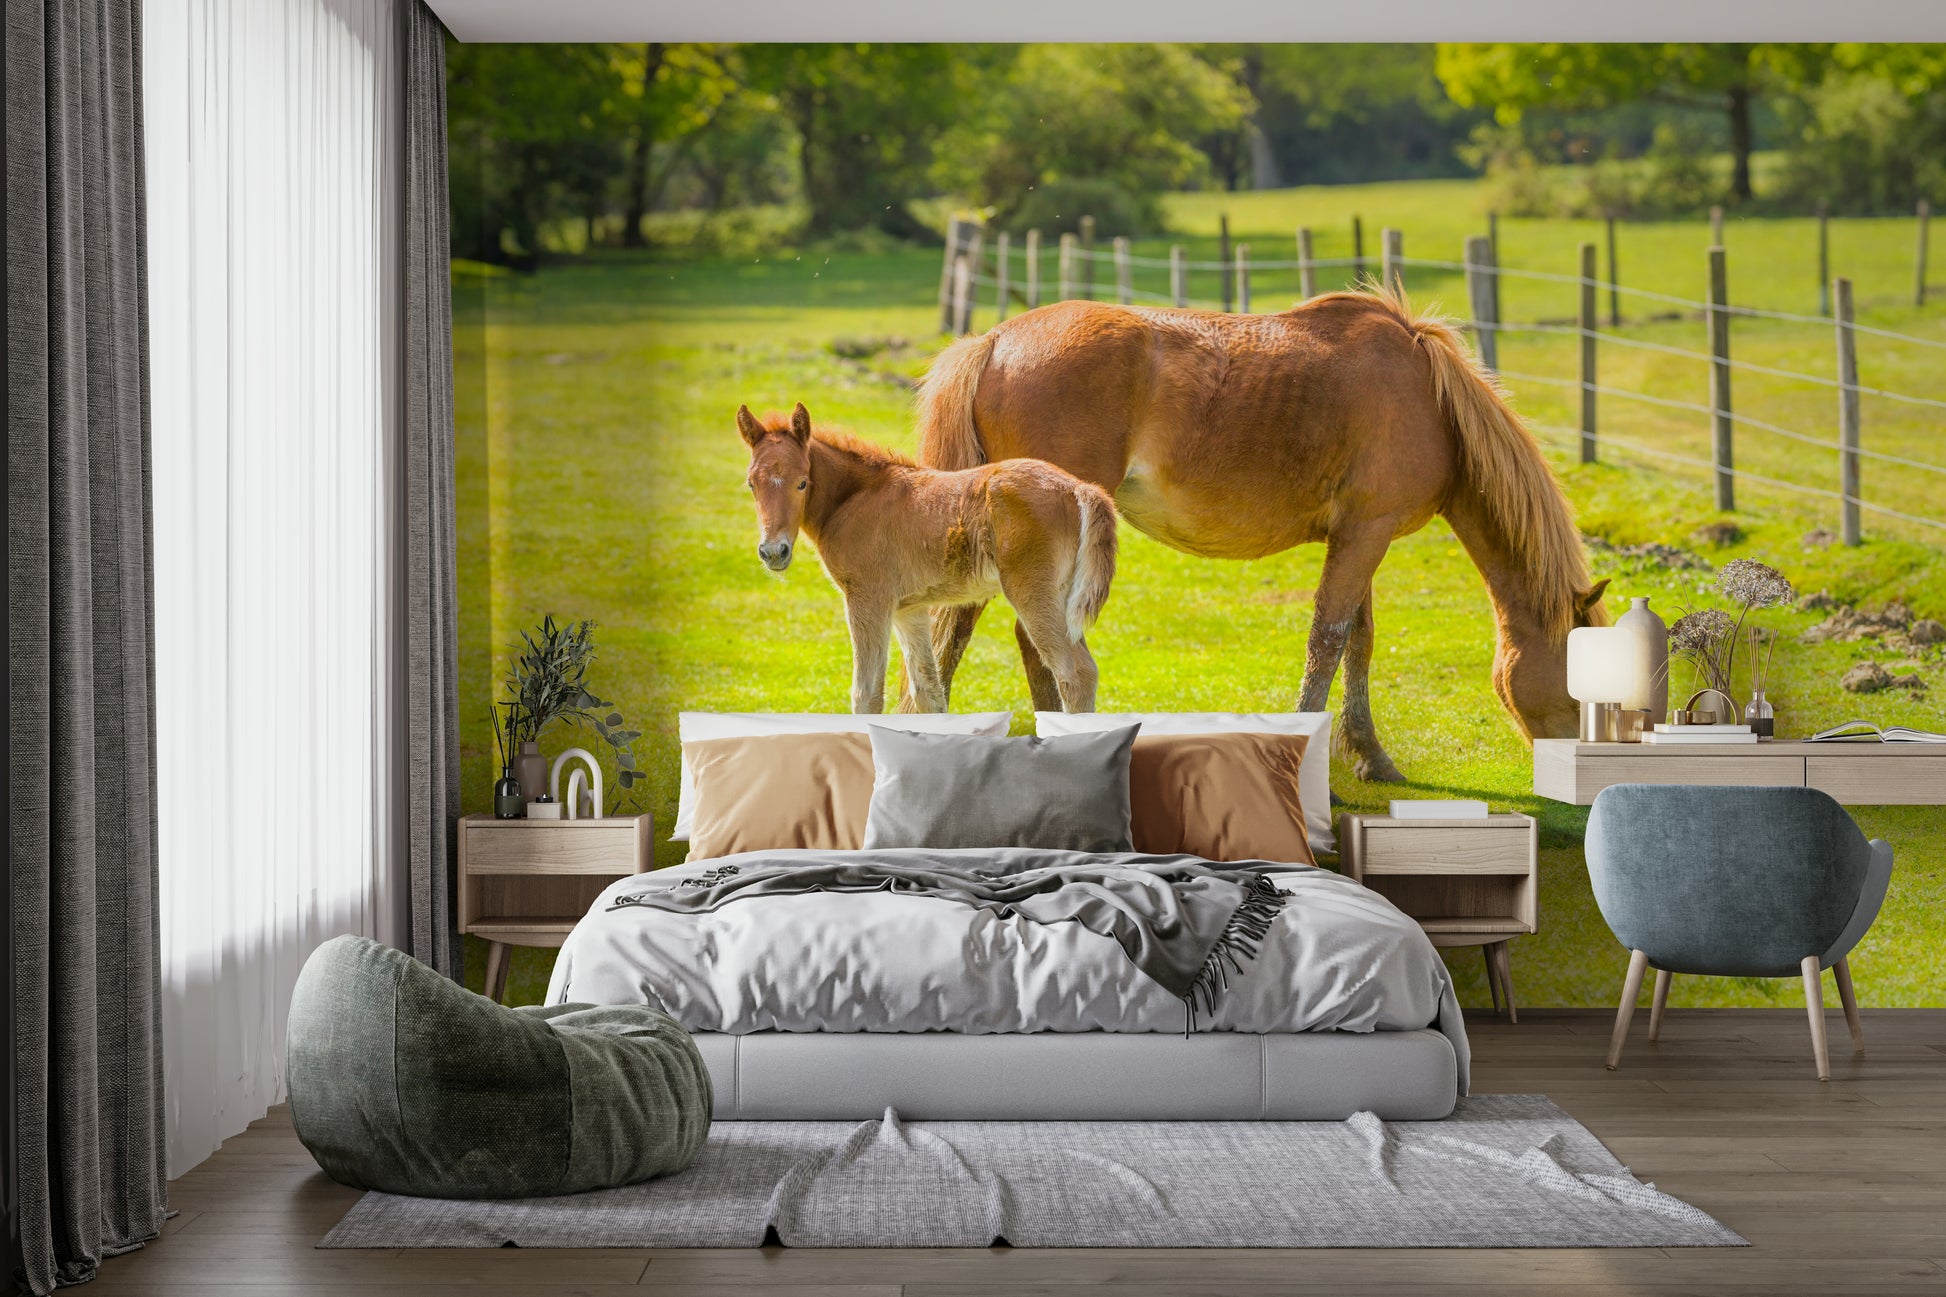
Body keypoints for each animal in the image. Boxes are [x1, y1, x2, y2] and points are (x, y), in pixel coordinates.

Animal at [736, 402, 1118, 713]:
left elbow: (866, 694)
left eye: (802, 483)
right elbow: (928, 693)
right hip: (1063, 598)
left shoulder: (867, 600)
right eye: (751, 484)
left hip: (1033, 593)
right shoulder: (909, 609)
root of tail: (1080, 488)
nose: (774, 552)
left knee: (1075, 675)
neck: (856, 498)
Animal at [914, 286, 1609, 781]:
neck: (1431, 401)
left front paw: (1370, 756)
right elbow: (1328, 637)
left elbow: (1358, 640)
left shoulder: (1361, 535)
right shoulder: (1366, 533)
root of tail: (996, 341)